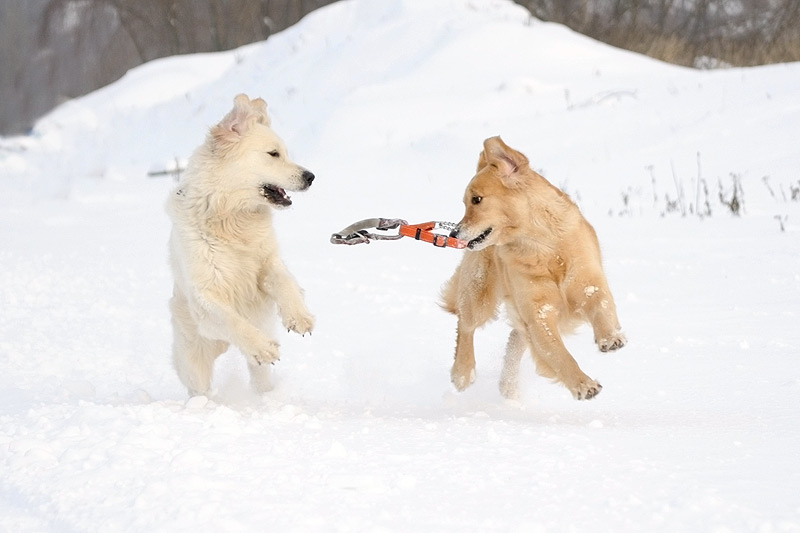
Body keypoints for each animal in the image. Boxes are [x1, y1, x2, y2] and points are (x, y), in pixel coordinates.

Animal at [166, 94, 316, 394]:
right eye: (273, 154)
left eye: (285, 152)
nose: (310, 177)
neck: (231, 217)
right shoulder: (205, 296)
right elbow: (232, 319)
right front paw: (262, 348)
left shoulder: (267, 264)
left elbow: (285, 282)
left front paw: (299, 316)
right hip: (193, 356)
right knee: (198, 388)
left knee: (260, 380)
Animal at [444, 137, 624, 400]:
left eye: (476, 200)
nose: (453, 234)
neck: (543, 246)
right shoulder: (537, 312)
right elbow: (559, 355)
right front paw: (583, 384)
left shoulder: (588, 282)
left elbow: (602, 308)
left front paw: (610, 338)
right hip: (479, 293)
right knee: (465, 325)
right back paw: (463, 373)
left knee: (514, 338)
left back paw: (508, 386)